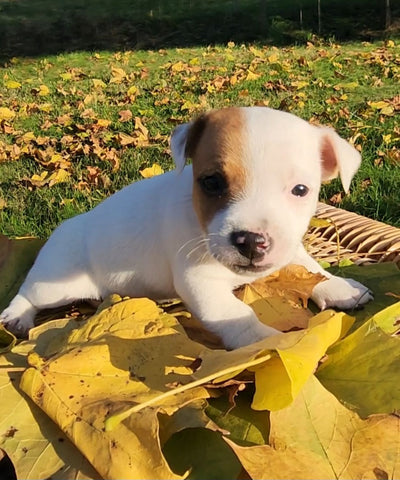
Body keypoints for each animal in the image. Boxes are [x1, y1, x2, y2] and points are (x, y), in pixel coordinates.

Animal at [1, 108, 374, 348]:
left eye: (300, 190)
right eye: (212, 183)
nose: (251, 241)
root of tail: (67, 226)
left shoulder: (289, 249)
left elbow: (310, 268)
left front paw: (340, 287)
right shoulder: (201, 284)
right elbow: (236, 315)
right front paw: (267, 344)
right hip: (57, 284)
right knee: (27, 292)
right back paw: (16, 317)